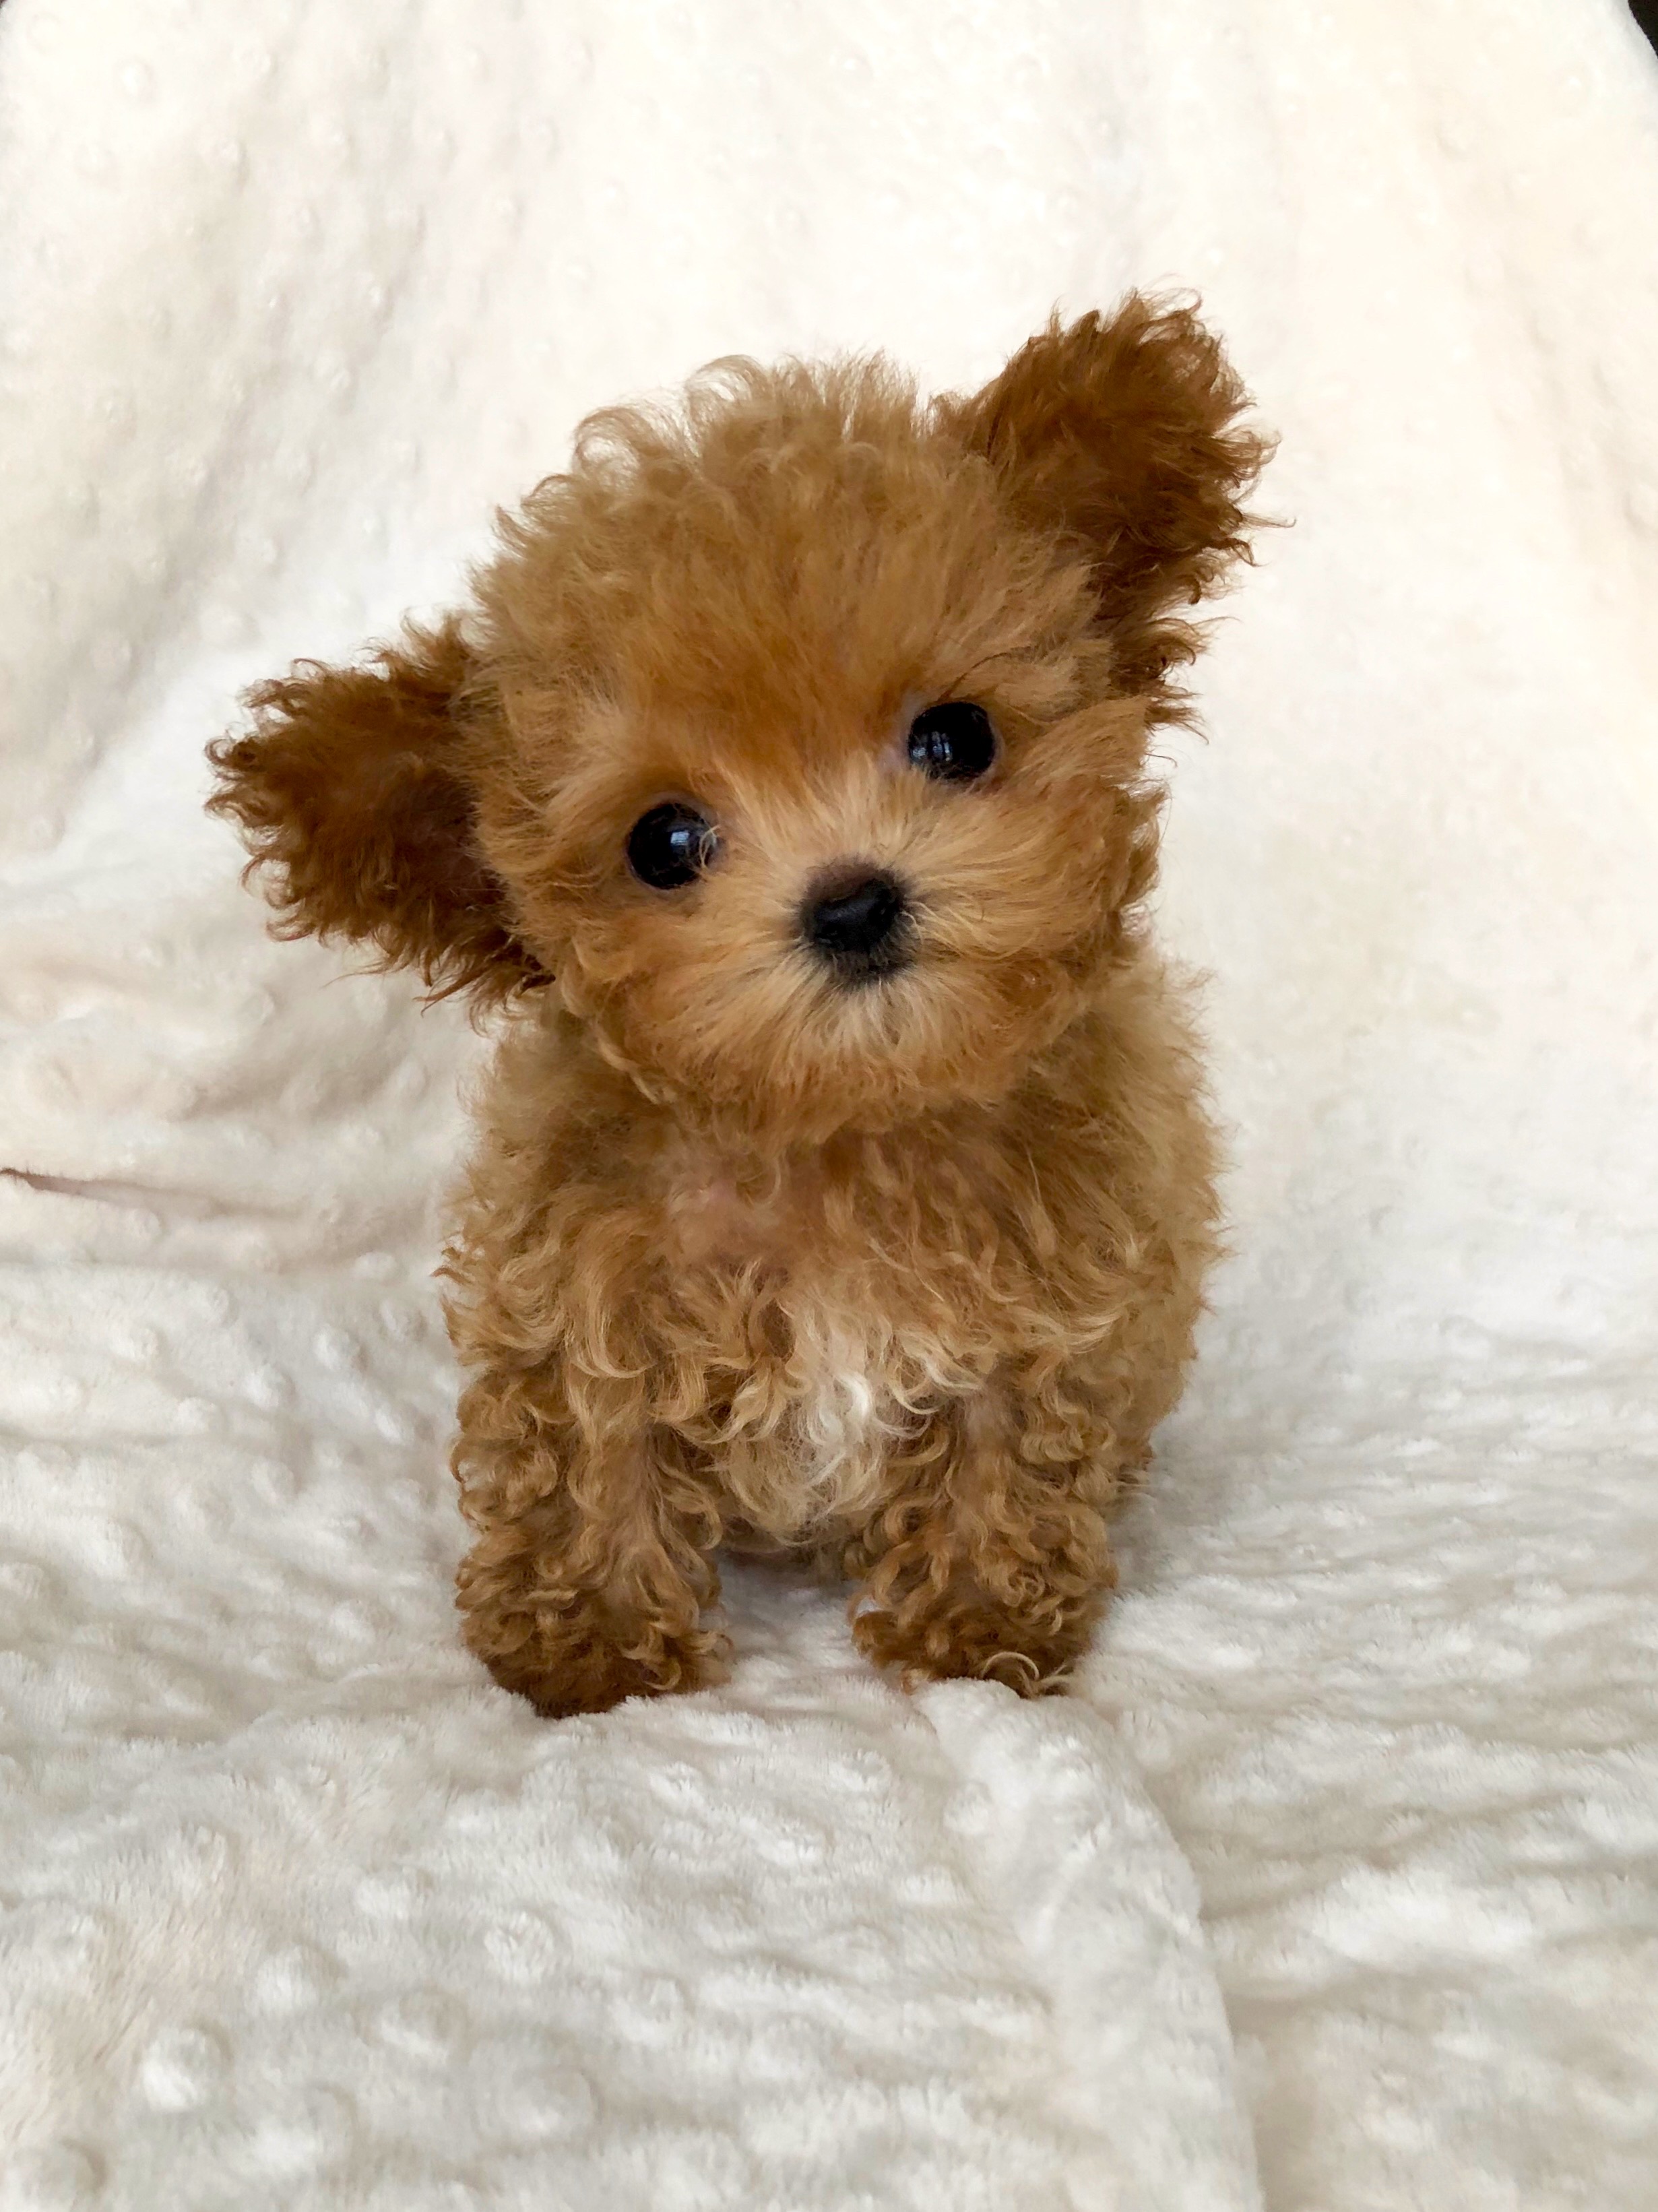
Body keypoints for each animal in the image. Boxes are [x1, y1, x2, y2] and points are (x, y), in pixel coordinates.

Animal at [211, 294, 1273, 1707]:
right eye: (664, 841)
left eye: (956, 738)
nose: (854, 901)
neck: (836, 1135)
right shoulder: (584, 1278)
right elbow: (591, 1447)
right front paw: (588, 1647)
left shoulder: (1045, 1300)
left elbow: (1004, 1451)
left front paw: (973, 1628)